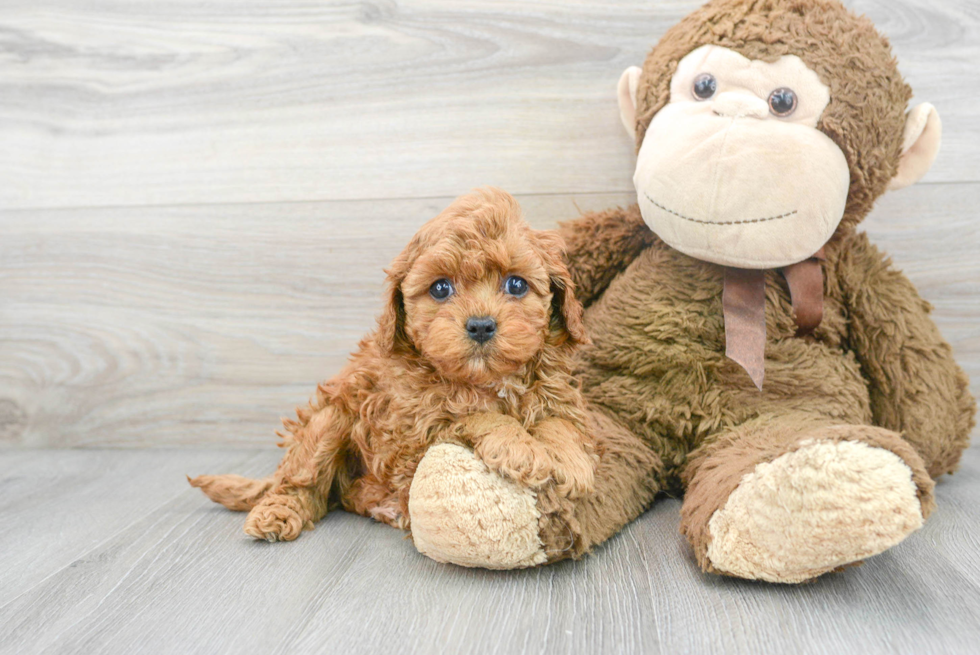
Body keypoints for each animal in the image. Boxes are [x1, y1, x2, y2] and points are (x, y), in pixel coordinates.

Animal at [188, 188, 592, 544]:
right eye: (441, 288)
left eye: (516, 285)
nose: (480, 325)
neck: (485, 380)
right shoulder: (415, 426)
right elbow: (474, 414)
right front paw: (519, 446)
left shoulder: (557, 393)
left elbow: (559, 421)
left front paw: (571, 461)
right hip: (327, 422)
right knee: (303, 484)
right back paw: (279, 512)